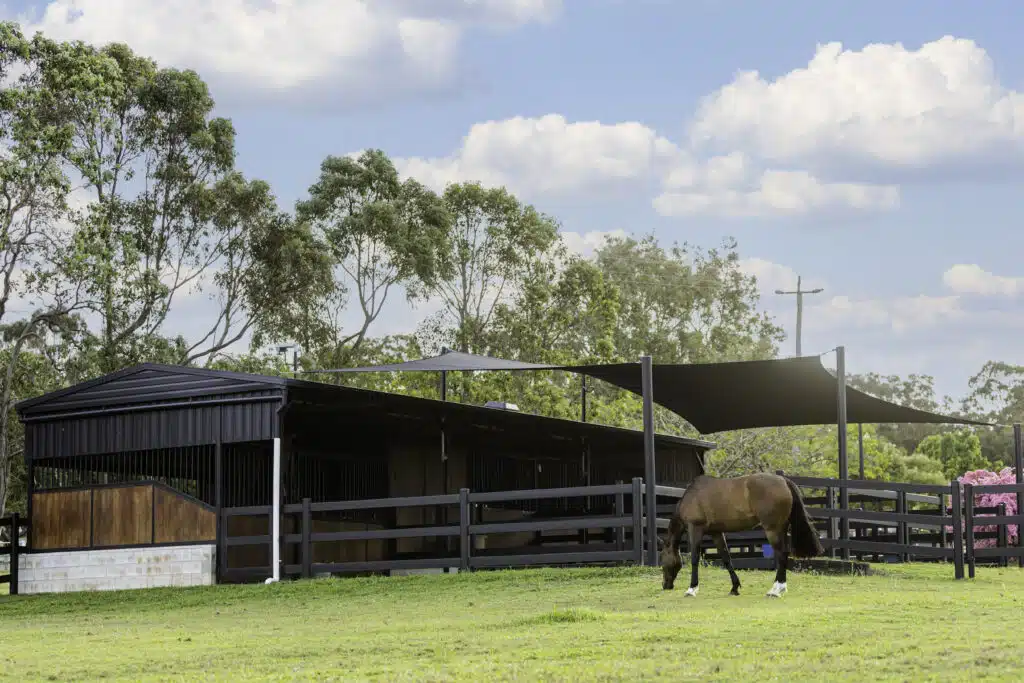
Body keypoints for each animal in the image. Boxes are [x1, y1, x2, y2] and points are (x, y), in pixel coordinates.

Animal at [658, 472, 824, 598]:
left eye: (662, 560)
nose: (665, 585)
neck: (692, 496)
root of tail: (783, 480)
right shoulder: (716, 533)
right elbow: (726, 559)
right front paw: (734, 588)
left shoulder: (695, 529)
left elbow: (694, 559)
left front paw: (692, 589)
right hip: (781, 528)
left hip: (772, 529)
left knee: (782, 554)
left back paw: (775, 590)